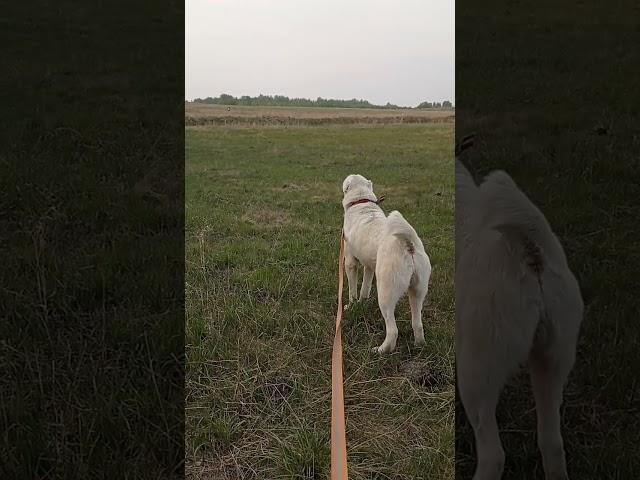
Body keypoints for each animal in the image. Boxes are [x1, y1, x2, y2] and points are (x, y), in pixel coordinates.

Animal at [340, 174, 430, 354]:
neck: (361, 201)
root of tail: (408, 244)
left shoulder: (351, 262)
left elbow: (353, 290)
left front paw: (351, 306)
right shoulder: (369, 266)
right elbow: (365, 288)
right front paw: (362, 302)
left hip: (386, 294)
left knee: (393, 331)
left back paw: (380, 350)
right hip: (417, 292)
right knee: (417, 324)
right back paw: (419, 345)